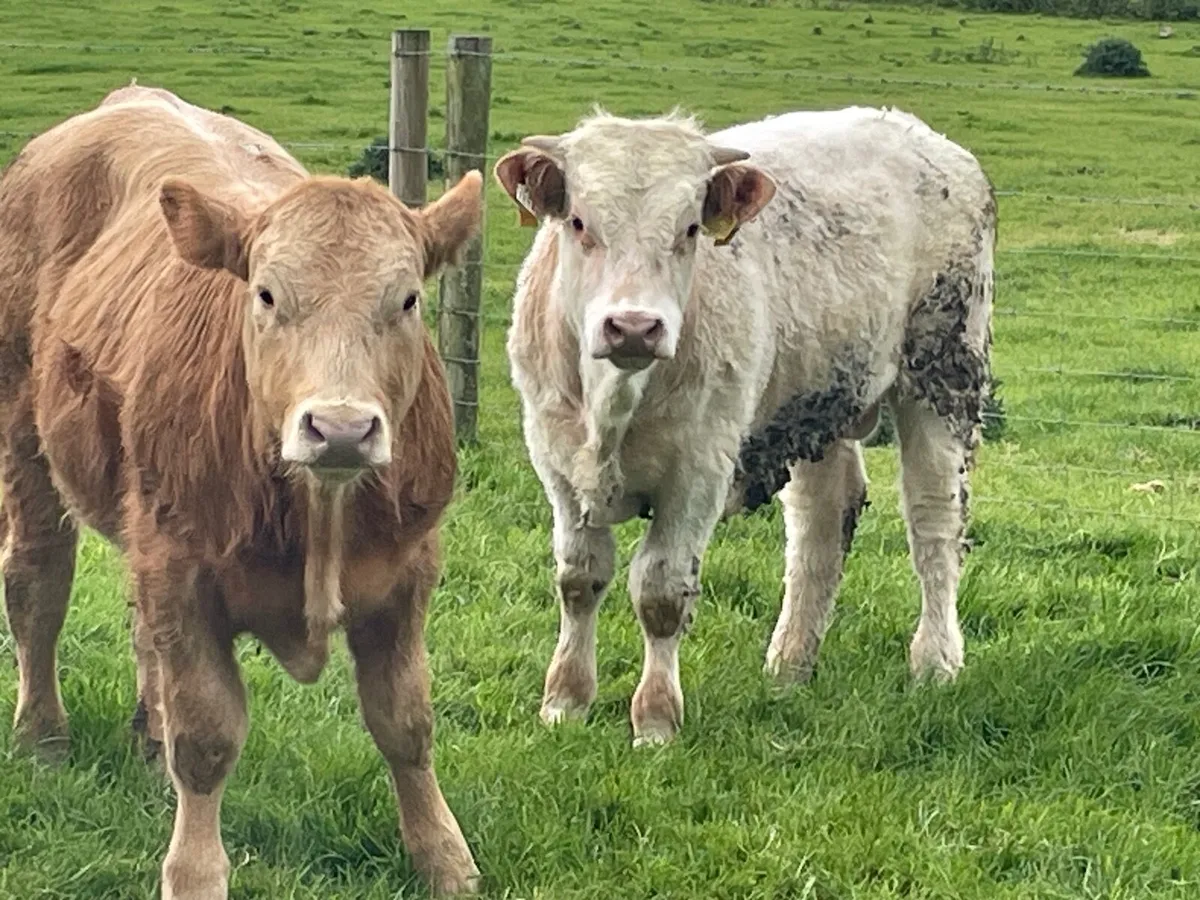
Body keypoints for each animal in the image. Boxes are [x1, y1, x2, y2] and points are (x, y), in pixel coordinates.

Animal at [0, 84, 483, 898]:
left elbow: (406, 723)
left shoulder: (409, 573)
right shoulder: (183, 569)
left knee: (140, 631)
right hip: (27, 442)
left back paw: (145, 741)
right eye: (265, 294)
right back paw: (42, 736)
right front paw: (194, 872)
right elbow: (208, 737)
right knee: (37, 583)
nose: (342, 428)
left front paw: (444, 858)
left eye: (409, 299)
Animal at [494, 106, 996, 747]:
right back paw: (790, 664)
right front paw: (565, 702)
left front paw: (656, 720)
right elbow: (579, 579)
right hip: (813, 399)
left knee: (934, 522)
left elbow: (660, 591)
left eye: (689, 230)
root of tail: (922, 135)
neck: (614, 400)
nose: (633, 327)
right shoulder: (556, 462)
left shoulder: (699, 468)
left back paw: (935, 661)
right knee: (821, 521)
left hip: (944, 369)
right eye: (580, 222)